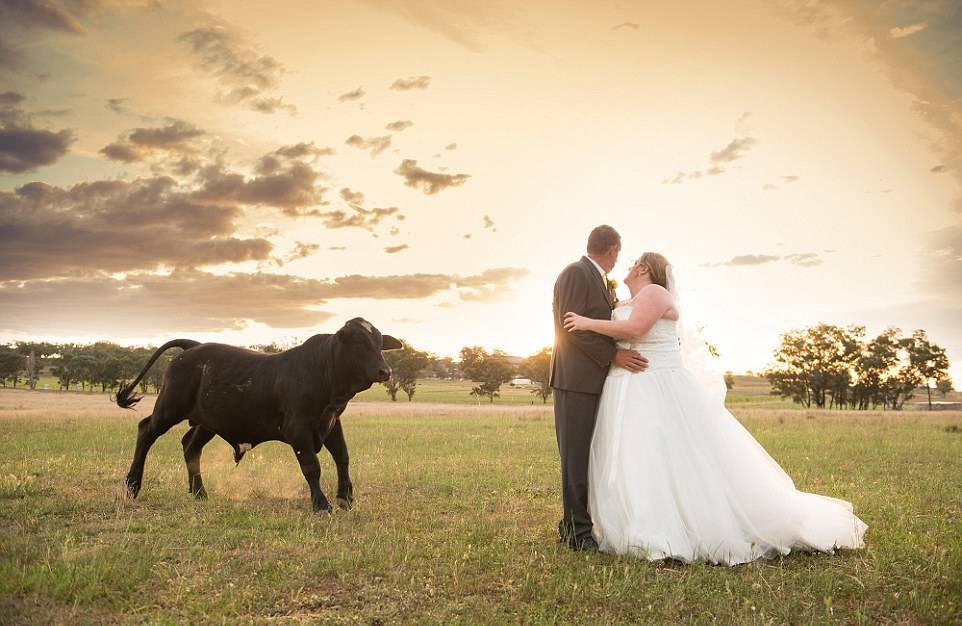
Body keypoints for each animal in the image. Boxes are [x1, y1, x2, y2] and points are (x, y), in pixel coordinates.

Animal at [116, 316, 402, 512]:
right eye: (358, 343)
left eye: (379, 344)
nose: (385, 371)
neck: (324, 370)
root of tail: (193, 347)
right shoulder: (298, 429)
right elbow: (312, 467)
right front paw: (321, 504)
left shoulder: (331, 423)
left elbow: (342, 457)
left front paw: (346, 498)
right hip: (168, 408)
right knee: (146, 431)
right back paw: (132, 485)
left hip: (207, 422)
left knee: (190, 446)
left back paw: (199, 493)